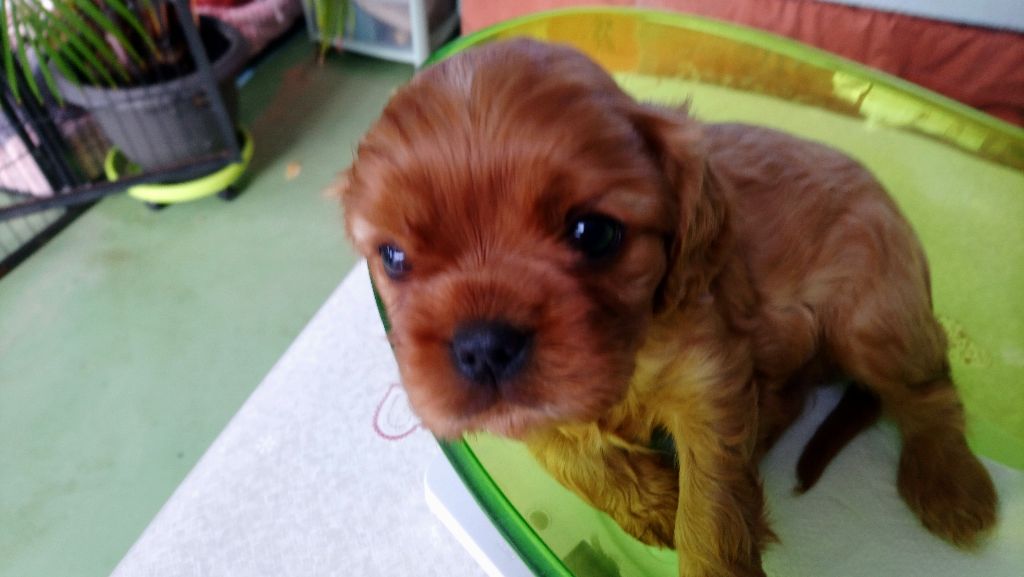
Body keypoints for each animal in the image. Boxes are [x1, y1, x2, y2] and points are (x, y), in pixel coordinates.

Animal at [339, 39, 997, 577]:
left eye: (593, 232)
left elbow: (711, 508)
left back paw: (951, 487)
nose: (482, 347)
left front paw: (690, 520)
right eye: (393, 256)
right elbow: (566, 456)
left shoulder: (709, 380)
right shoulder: (533, 415)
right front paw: (654, 503)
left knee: (930, 391)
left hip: (873, 316)